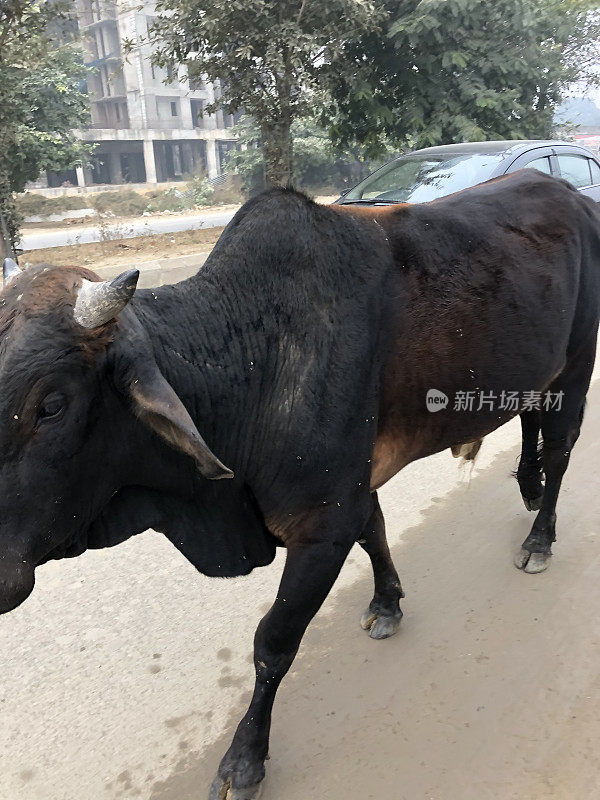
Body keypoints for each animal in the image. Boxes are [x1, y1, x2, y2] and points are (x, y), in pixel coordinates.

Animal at [0, 172, 596, 796]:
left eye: (50, 405)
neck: (251, 362)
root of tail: (570, 194)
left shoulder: (322, 526)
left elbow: (274, 642)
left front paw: (245, 759)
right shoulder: (351, 493)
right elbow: (375, 531)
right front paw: (387, 602)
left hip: (577, 367)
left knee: (561, 448)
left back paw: (539, 536)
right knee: (531, 422)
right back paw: (527, 486)